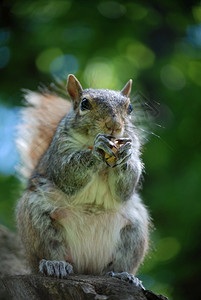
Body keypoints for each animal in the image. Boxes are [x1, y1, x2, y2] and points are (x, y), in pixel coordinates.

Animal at [15, 74, 150, 288]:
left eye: (129, 108)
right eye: (84, 104)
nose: (114, 126)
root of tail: (87, 265)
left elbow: (127, 187)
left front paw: (125, 157)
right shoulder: (60, 151)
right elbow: (67, 173)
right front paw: (97, 150)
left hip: (135, 230)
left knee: (120, 262)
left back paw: (124, 275)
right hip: (36, 219)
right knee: (49, 248)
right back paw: (55, 264)